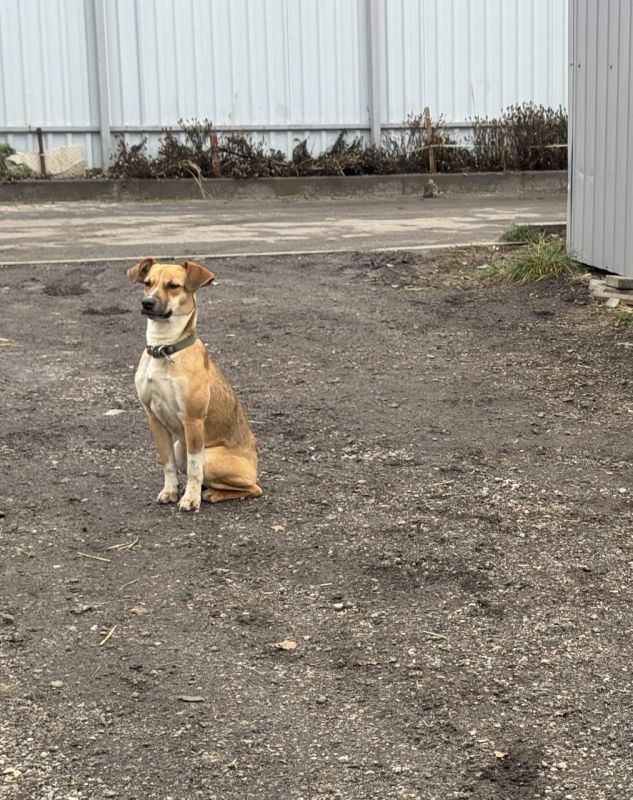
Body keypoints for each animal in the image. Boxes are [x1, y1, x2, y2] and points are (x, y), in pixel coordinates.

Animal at [127, 260, 260, 516]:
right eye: (147, 283)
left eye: (173, 286)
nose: (147, 303)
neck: (164, 349)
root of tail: (255, 464)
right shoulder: (154, 418)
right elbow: (166, 462)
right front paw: (170, 491)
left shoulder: (193, 420)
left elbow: (195, 468)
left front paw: (190, 499)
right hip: (180, 447)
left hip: (211, 456)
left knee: (253, 488)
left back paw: (212, 494)